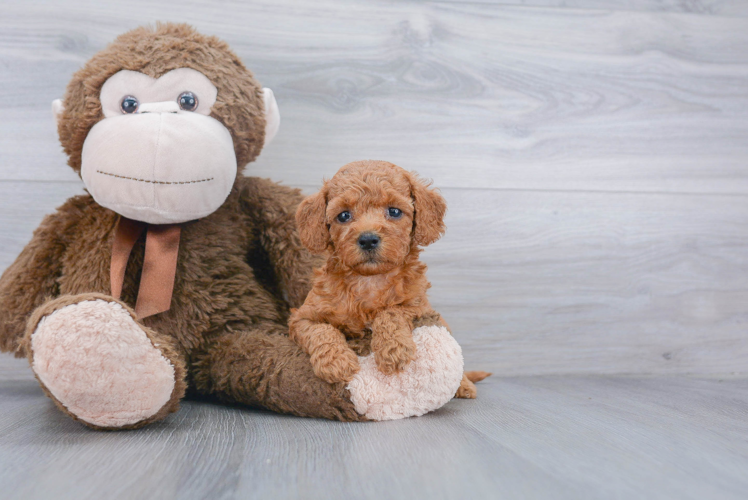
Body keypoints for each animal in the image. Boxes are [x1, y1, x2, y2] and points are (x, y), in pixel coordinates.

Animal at [286, 160, 486, 398]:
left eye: (394, 211)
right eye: (343, 215)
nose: (368, 239)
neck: (369, 280)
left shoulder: (418, 305)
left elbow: (391, 311)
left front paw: (393, 350)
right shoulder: (302, 318)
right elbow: (322, 330)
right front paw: (336, 362)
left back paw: (464, 385)